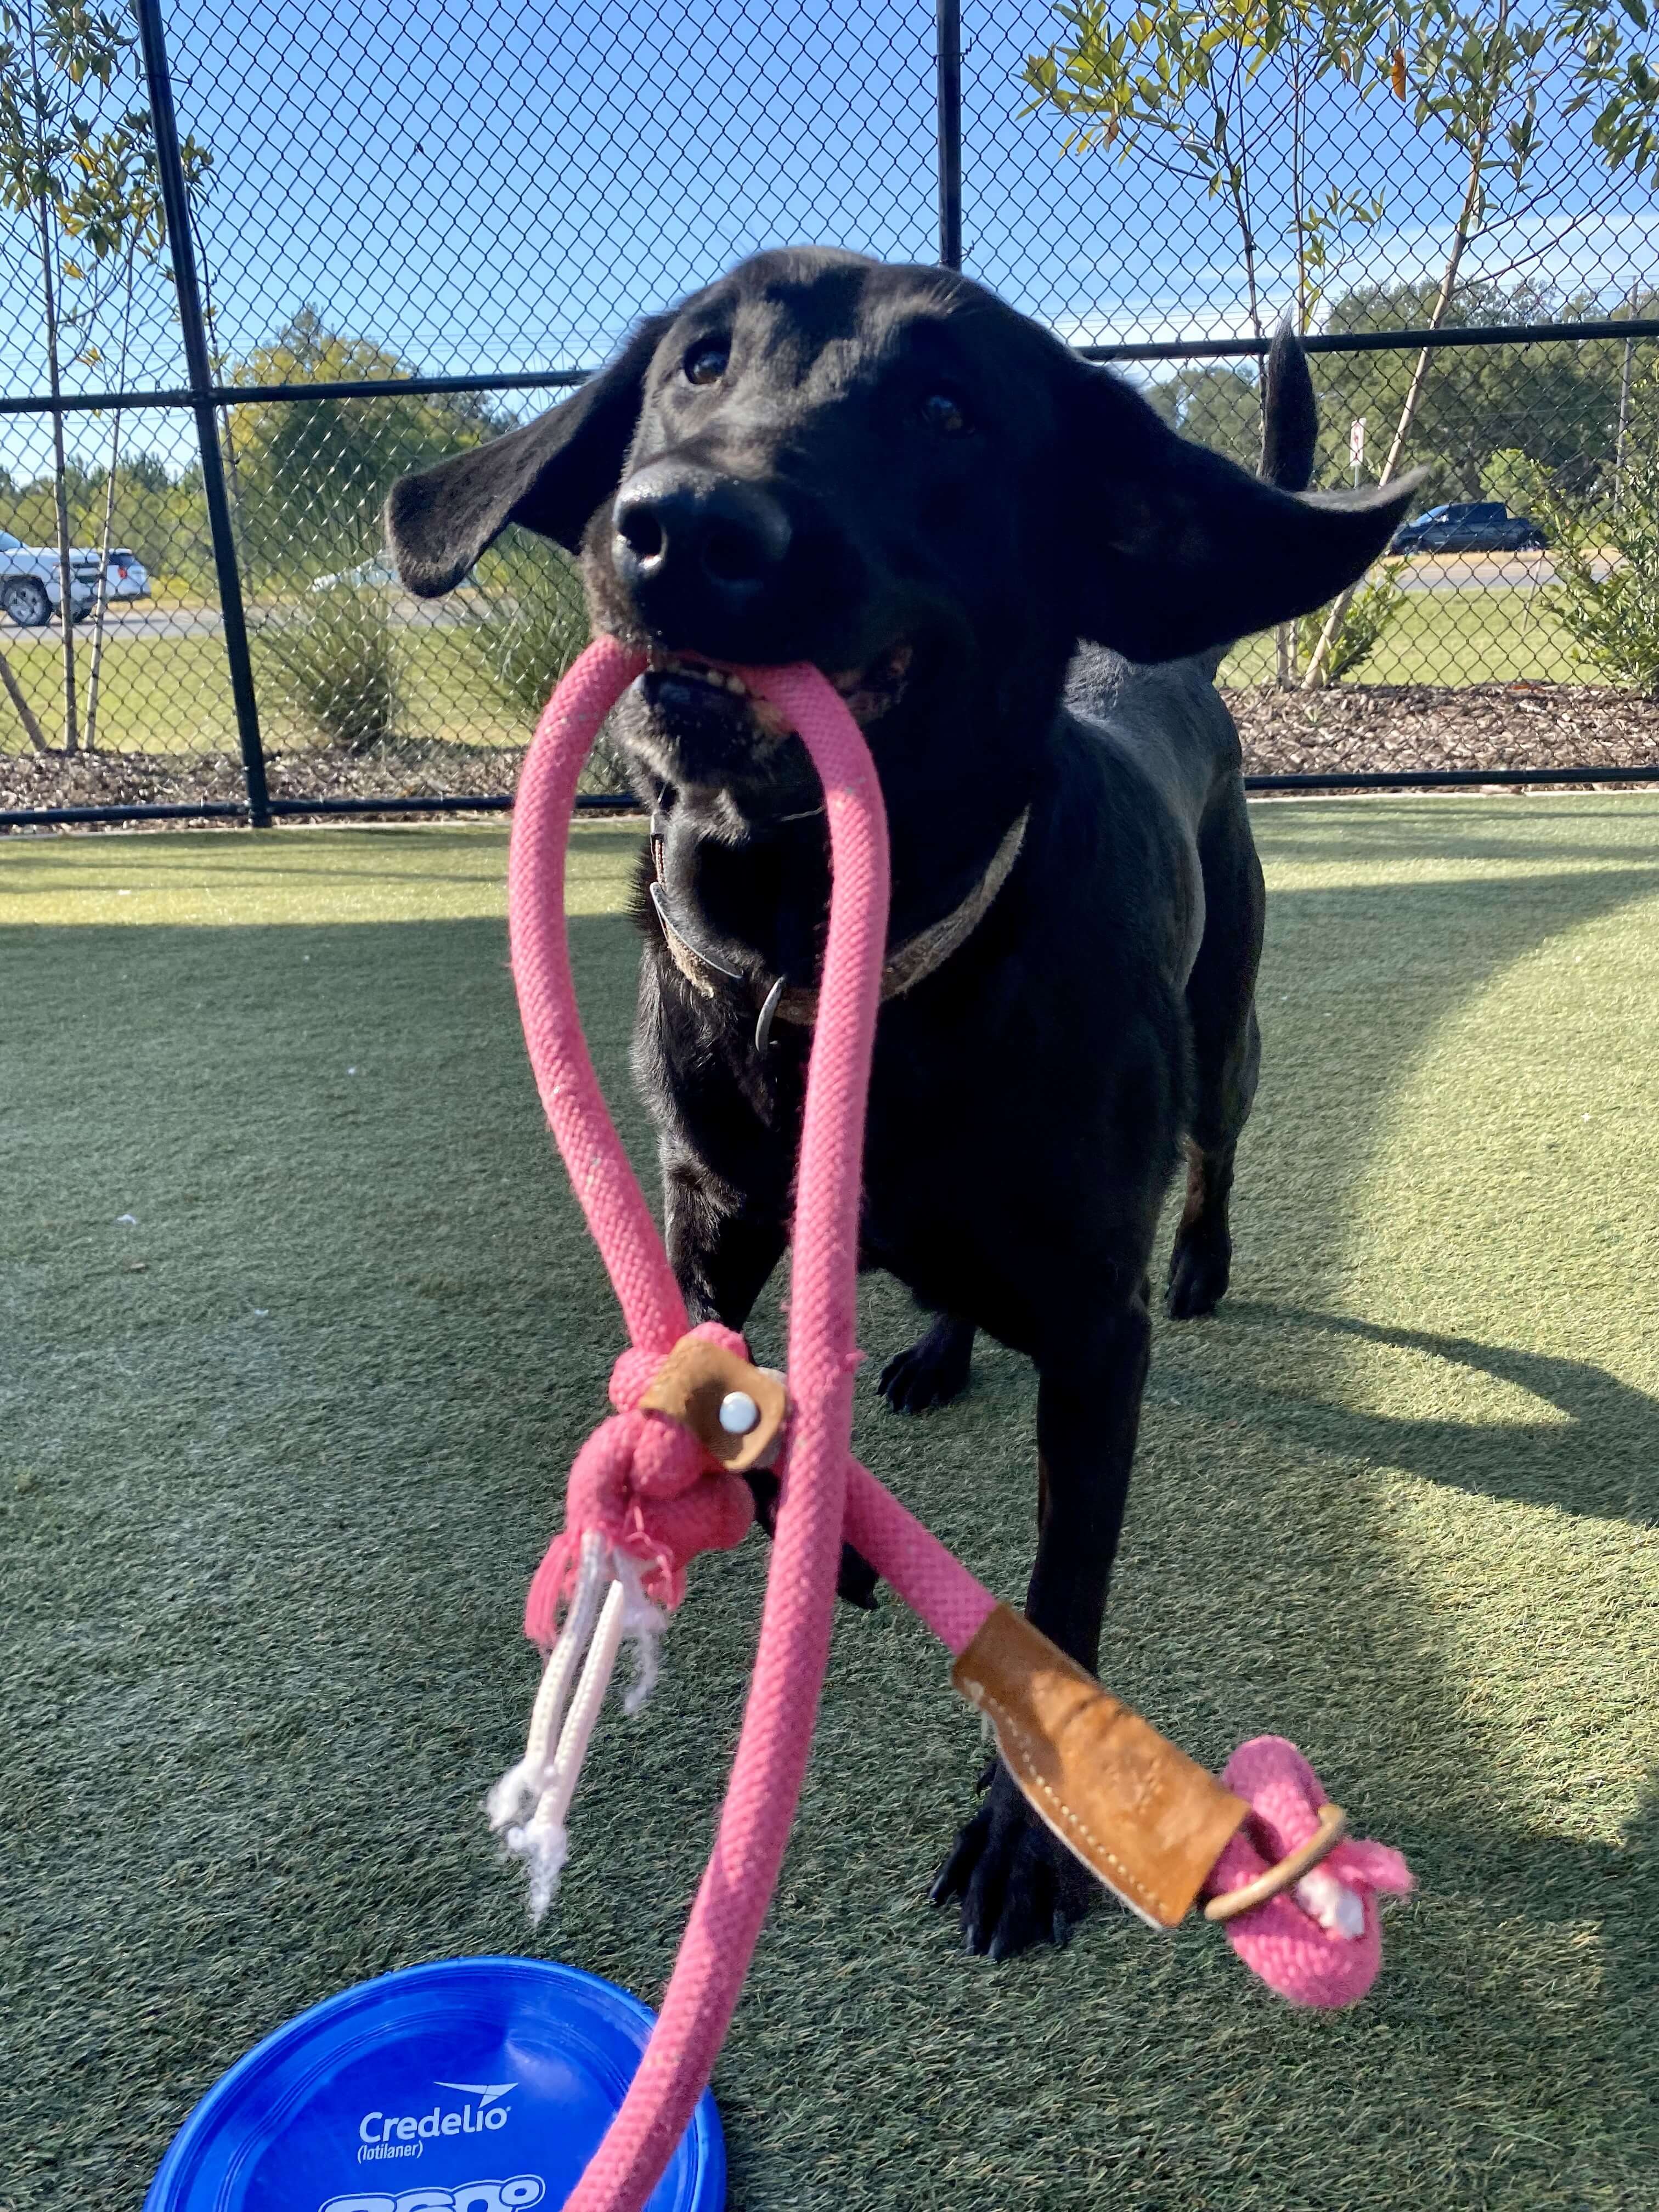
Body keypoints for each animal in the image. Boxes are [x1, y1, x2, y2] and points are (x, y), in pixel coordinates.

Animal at [387, 251, 1415, 1964]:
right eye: (697, 364)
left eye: (947, 410)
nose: (683, 526)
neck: (821, 959)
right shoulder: (711, 1216)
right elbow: (724, 1382)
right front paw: (819, 1519)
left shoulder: (1096, 1337)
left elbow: (1063, 1603)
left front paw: (1025, 1842)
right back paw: (933, 1346)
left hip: (1225, 1027)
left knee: (1219, 1135)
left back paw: (1201, 1260)